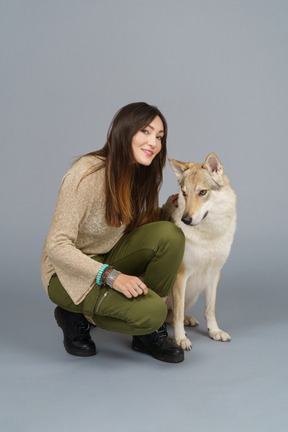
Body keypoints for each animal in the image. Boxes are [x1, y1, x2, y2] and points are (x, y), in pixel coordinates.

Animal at [162, 154, 236, 350]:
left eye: (202, 192)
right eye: (184, 193)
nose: (185, 220)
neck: (208, 236)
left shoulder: (214, 273)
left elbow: (210, 309)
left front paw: (214, 332)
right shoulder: (180, 276)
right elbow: (178, 314)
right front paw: (180, 339)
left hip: (193, 293)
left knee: (170, 316)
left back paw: (188, 320)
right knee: (169, 315)